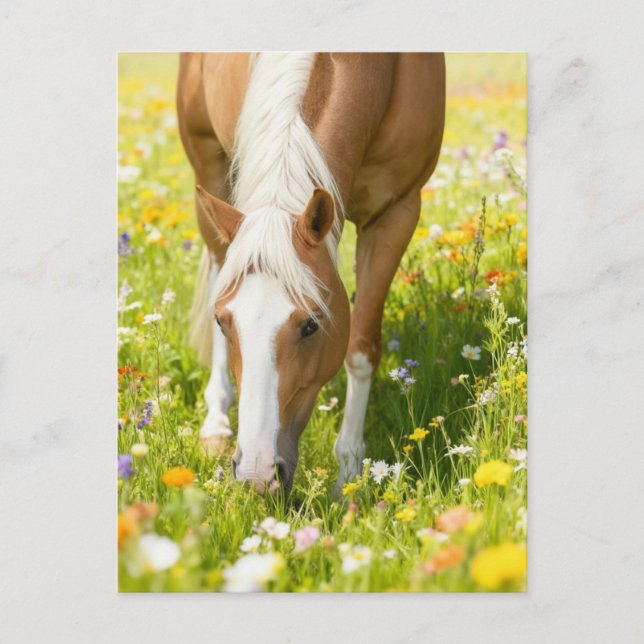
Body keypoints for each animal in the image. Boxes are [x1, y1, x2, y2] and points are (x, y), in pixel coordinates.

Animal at [177, 53, 445, 494]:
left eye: (311, 326)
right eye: (220, 322)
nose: (256, 474)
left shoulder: (397, 213)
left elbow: (361, 347)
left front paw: (350, 477)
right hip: (207, 170)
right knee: (218, 264)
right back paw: (215, 423)